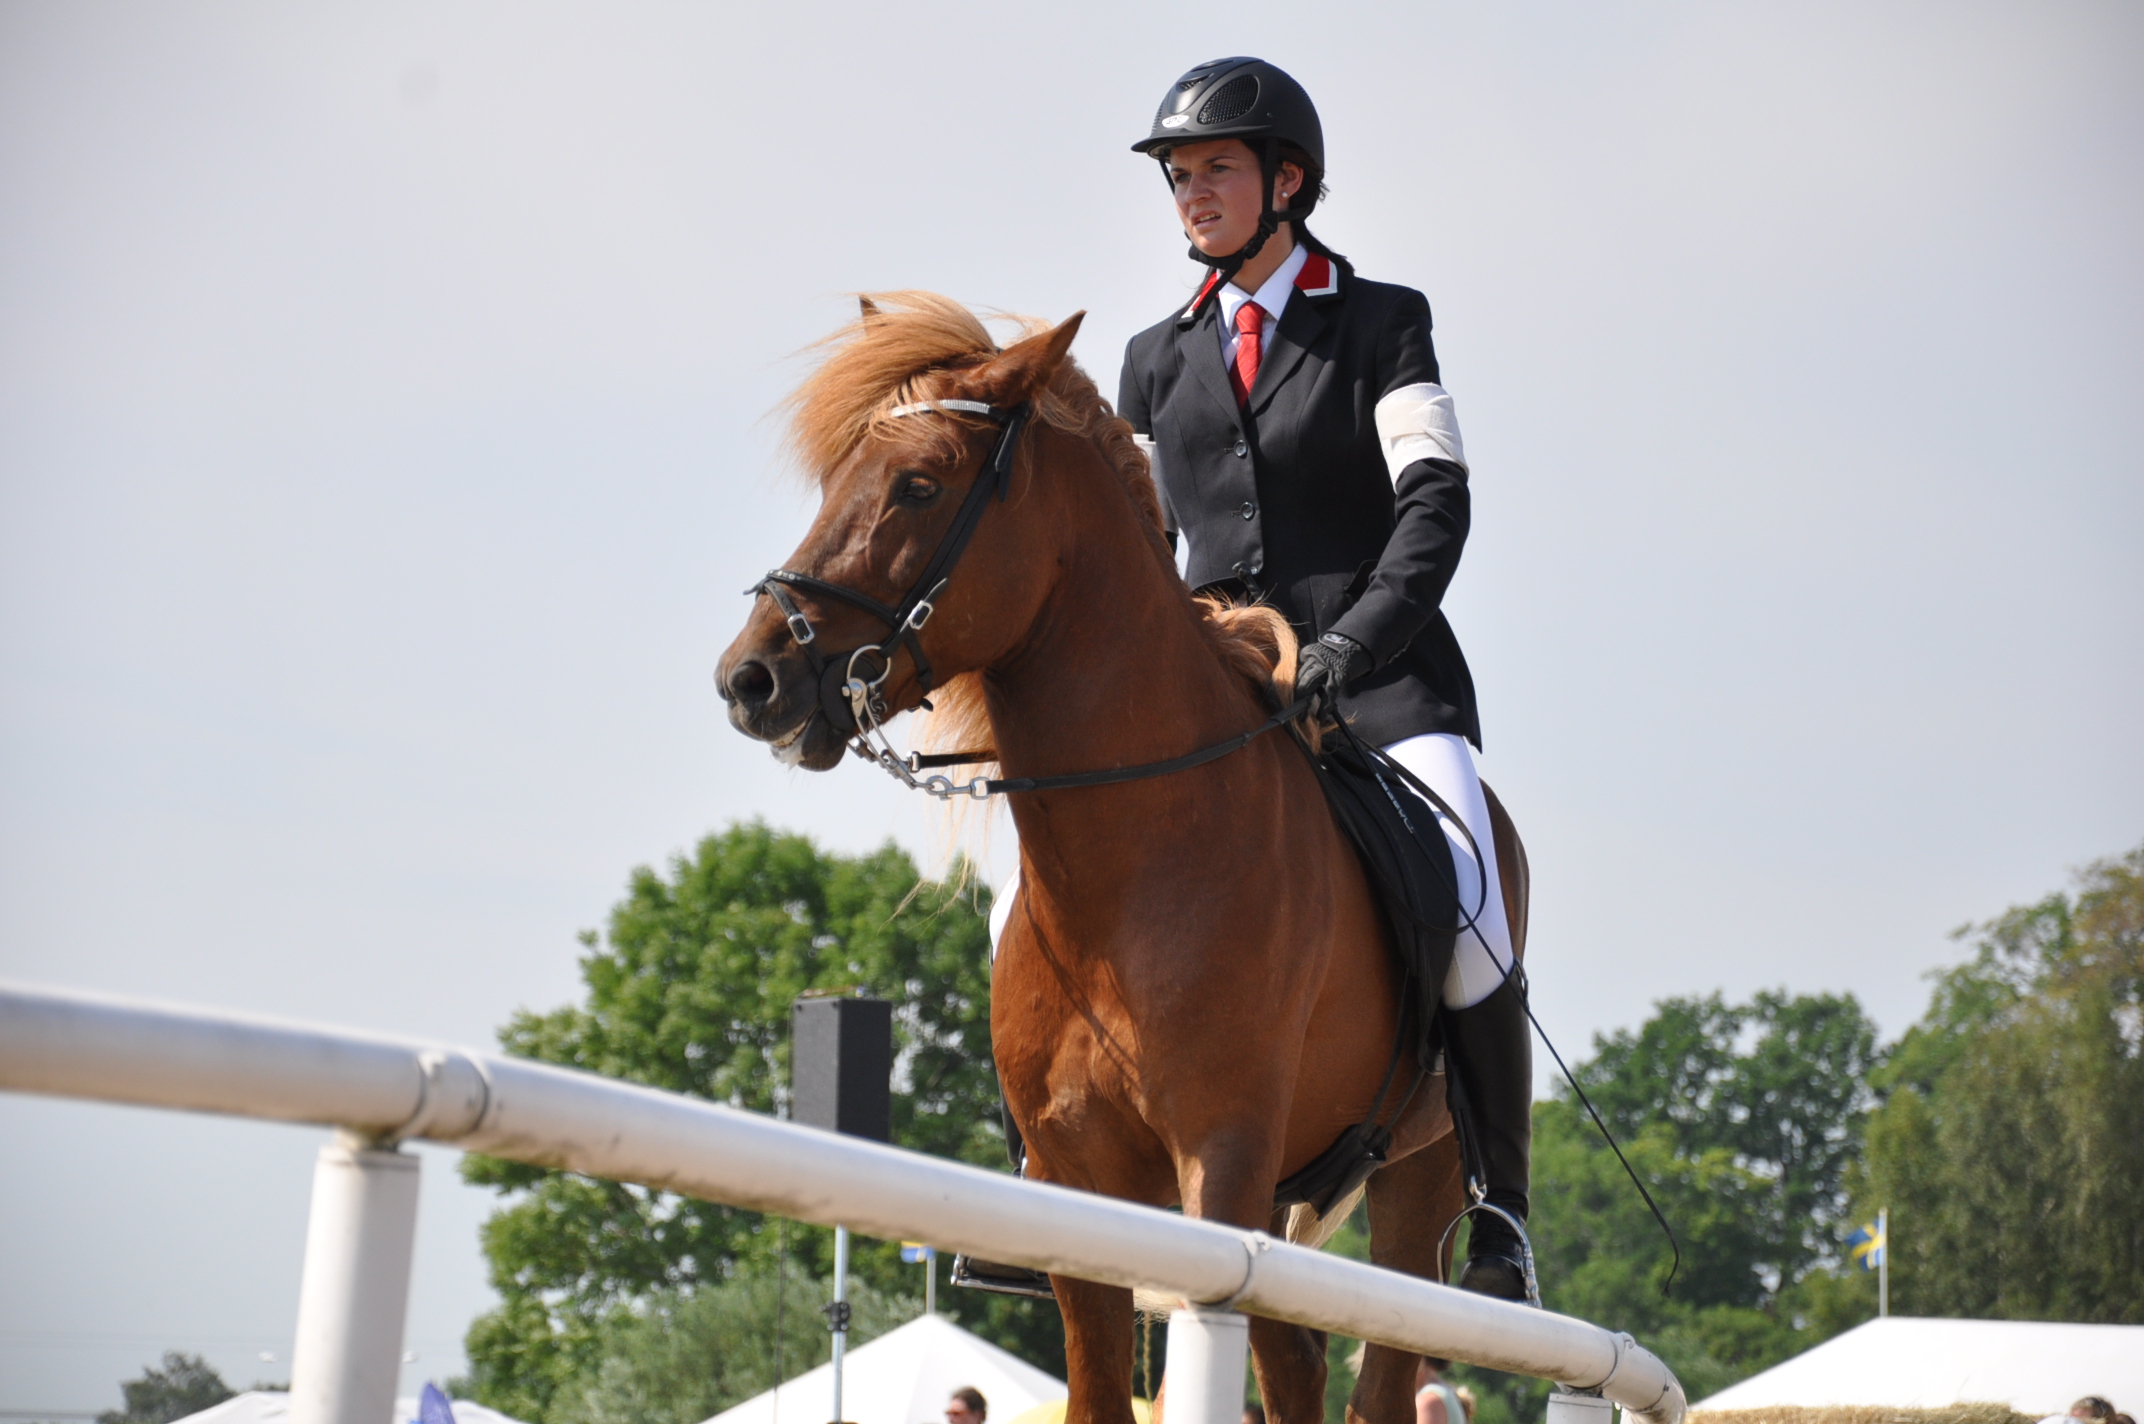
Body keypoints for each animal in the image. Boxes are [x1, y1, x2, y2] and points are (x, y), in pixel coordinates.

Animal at [720, 291, 1526, 1423]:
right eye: (835, 481)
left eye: (919, 484)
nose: (751, 679)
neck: (1138, 865)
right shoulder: (1083, 1184)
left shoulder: (1223, 1160)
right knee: (1294, 1364)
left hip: (1419, 1179)